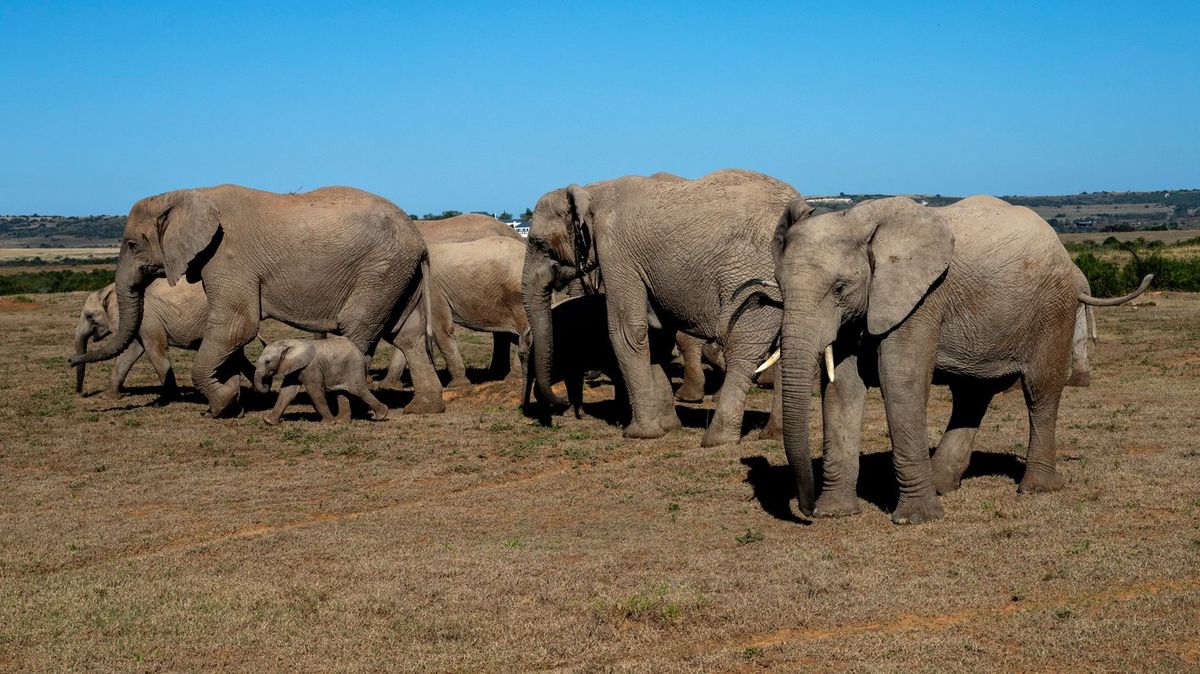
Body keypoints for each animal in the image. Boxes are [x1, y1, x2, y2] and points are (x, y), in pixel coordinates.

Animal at [254, 336, 388, 425]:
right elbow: (287, 391)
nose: (266, 384)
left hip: (354, 365)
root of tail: (360, 352)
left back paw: (382, 416)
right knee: (341, 392)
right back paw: (341, 422)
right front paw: (269, 422)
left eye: (267, 362)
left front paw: (328, 424)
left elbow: (314, 391)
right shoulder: (294, 367)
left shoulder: (311, 367)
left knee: (358, 390)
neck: (289, 342)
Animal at [523, 169, 797, 447]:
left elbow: (628, 332)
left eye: (539, 244)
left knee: (742, 348)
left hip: (753, 280)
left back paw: (717, 439)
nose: (561, 404)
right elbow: (657, 336)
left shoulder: (616, 253)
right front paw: (669, 427)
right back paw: (773, 435)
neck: (591, 191)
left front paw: (640, 434)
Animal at [769, 195, 1152, 523]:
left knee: (1040, 391)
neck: (859, 221)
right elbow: (842, 388)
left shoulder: (922, 300)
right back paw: (943, 484)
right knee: (972, 394)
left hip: (1054, 307)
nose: (805, 510)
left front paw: (915, 519)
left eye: (839, 288)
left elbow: (901, 380)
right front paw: (834, 513)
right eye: (779, 286)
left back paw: (1035, 489)